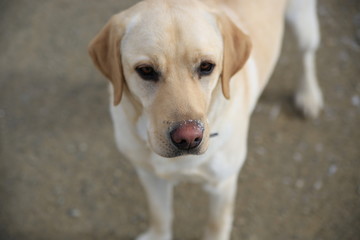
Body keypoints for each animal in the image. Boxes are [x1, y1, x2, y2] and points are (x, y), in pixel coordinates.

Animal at [88, 0, 324, 238]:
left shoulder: (223, 185)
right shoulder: (149, 175)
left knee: (307, 55)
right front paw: (158, 234)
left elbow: (216, 224)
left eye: (206, 66)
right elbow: (160, 214)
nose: (188, 138)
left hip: (303, 23)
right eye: (145, 70)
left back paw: (308, 95)